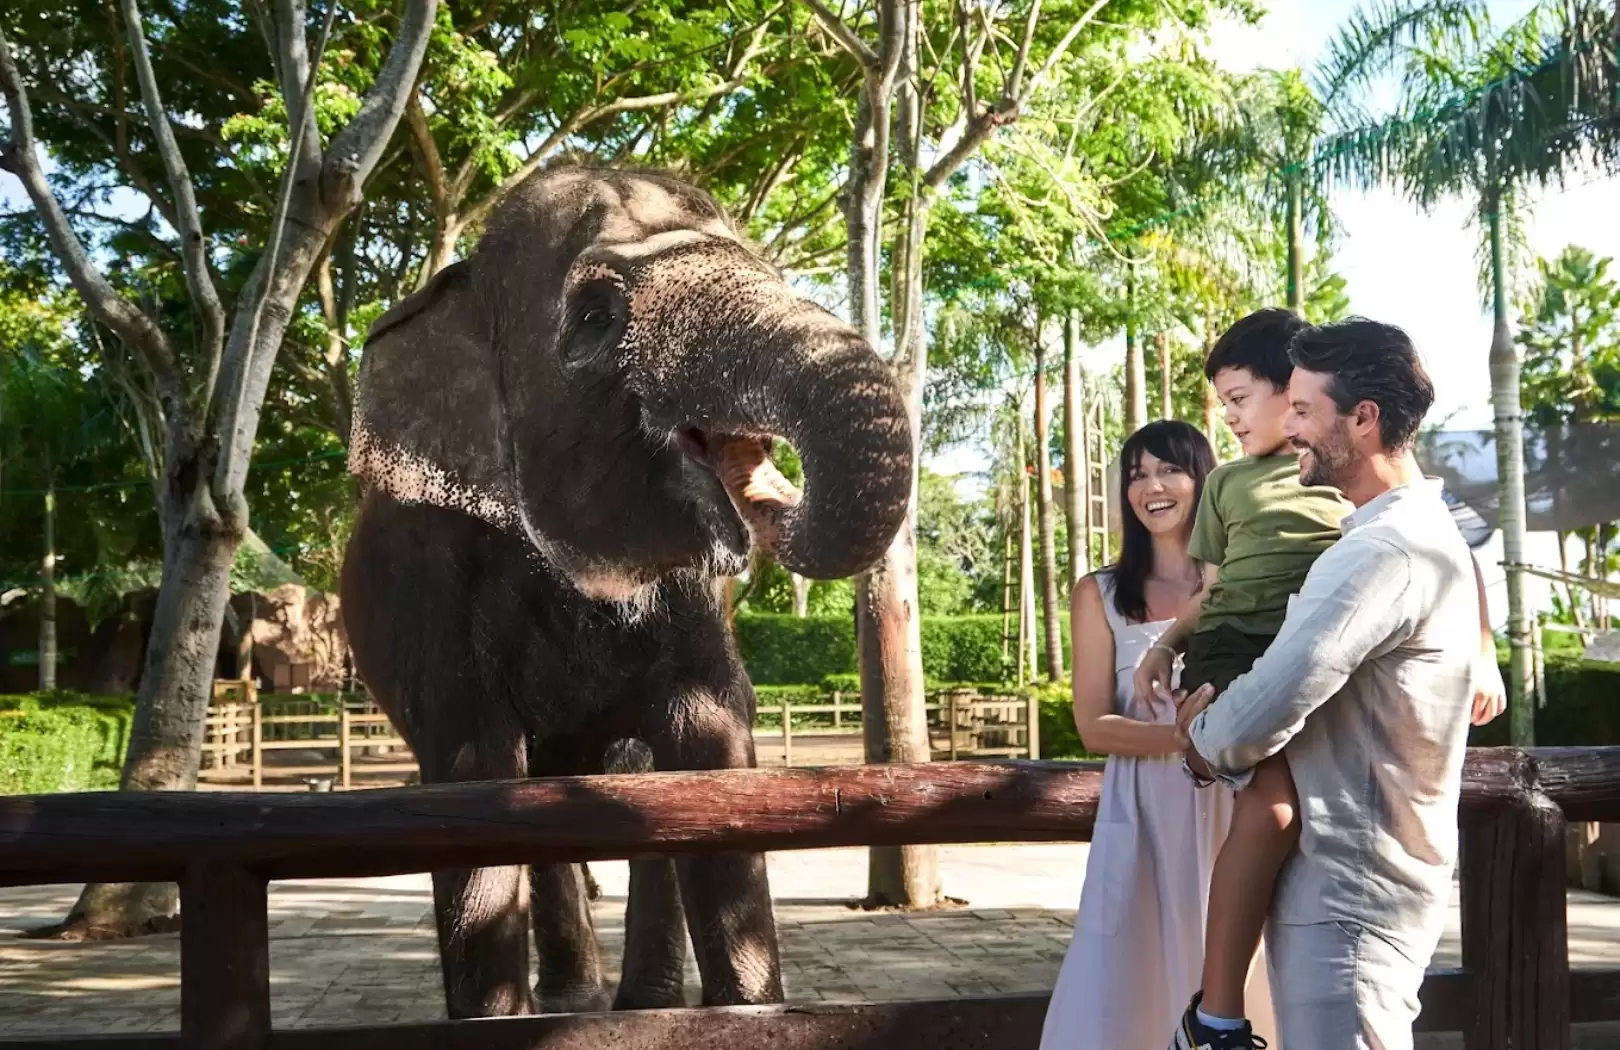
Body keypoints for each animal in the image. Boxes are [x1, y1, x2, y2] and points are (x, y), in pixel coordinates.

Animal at [339, 165, 914, 1018]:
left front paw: (749, 1016)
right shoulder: (431, 577)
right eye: (597, 316)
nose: (763, 487)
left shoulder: (693, 598)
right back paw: (576, 1003)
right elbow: (476, 776)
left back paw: (635, 1006)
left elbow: (707, 747)